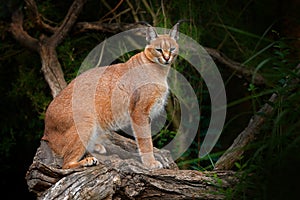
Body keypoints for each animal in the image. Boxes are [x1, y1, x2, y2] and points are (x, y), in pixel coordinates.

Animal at [41, 22, 179, 169]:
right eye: (159, 49)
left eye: (172, 49)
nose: (166, 58)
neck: (160, 70)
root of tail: (46, 132)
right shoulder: (139, 112)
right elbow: (145, 140)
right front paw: (150, 163)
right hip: (85, 120)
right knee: (65, 164)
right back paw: (87, 161)